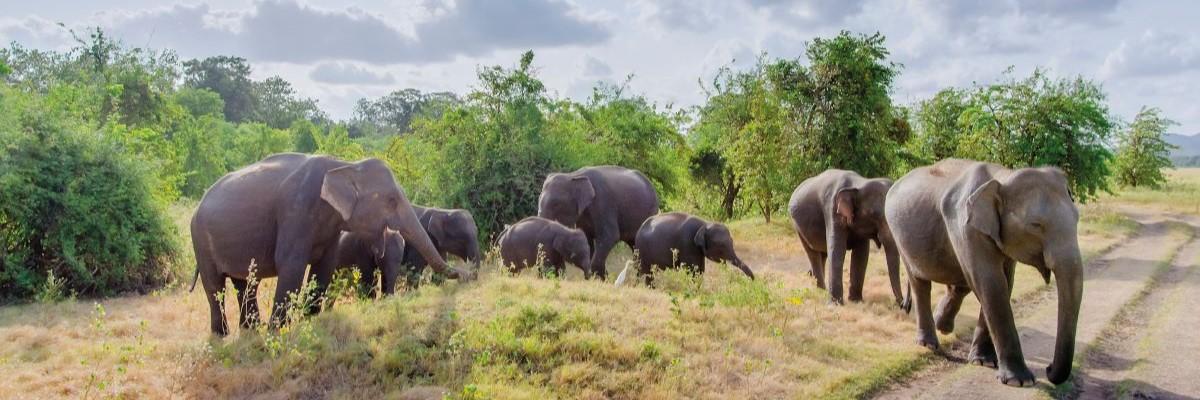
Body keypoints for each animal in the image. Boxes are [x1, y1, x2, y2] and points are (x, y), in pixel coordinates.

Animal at [189, 151, 470, 333]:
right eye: (391, 200)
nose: (467, 276)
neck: (344, 166)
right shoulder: (296, 211)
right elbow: (291, 265)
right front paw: (277, 332)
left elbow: (324, 267)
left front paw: (310, 322)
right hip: (199, 239)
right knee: (214, 286)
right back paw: (223, 336)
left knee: (245, 284)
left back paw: (250, 331)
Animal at [787, 168, 902, 305]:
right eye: (874, 214)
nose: (902, 305)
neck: (859, 183)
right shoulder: (832, 210)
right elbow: (837, 250)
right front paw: (836, 304)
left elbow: (861, 254)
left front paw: (856, 301)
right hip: (797, 227)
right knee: (812, 254)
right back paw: (820, 290)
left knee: (822, 254)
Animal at [883, 158, 1089, 386]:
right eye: (1035, 225)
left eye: (1077, 218)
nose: (1049, 368)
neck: (1003, 177)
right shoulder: (966, 227)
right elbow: (991, 283)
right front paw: (1020, 381)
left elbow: (1005, 282)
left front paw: (984, 362)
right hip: (898, 233)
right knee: (920, 283)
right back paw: (928, 344)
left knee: (959, 284)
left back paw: (943, 326)